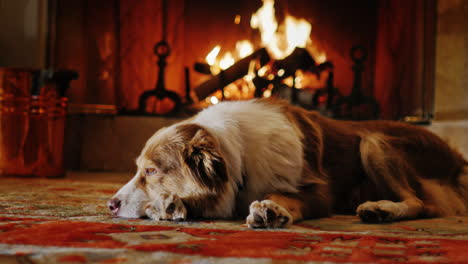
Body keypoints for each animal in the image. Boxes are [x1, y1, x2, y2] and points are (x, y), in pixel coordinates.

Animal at [107, 98, 468, 228]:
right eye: (138, 169)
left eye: (151, 171)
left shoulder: (319, 192)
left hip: (373, 141)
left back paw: (382, 209)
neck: (237, 152)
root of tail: (458, 160)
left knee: (423, 204)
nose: (110, 204)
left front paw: (270, 209)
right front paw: (170, 205)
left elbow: (284, 195)